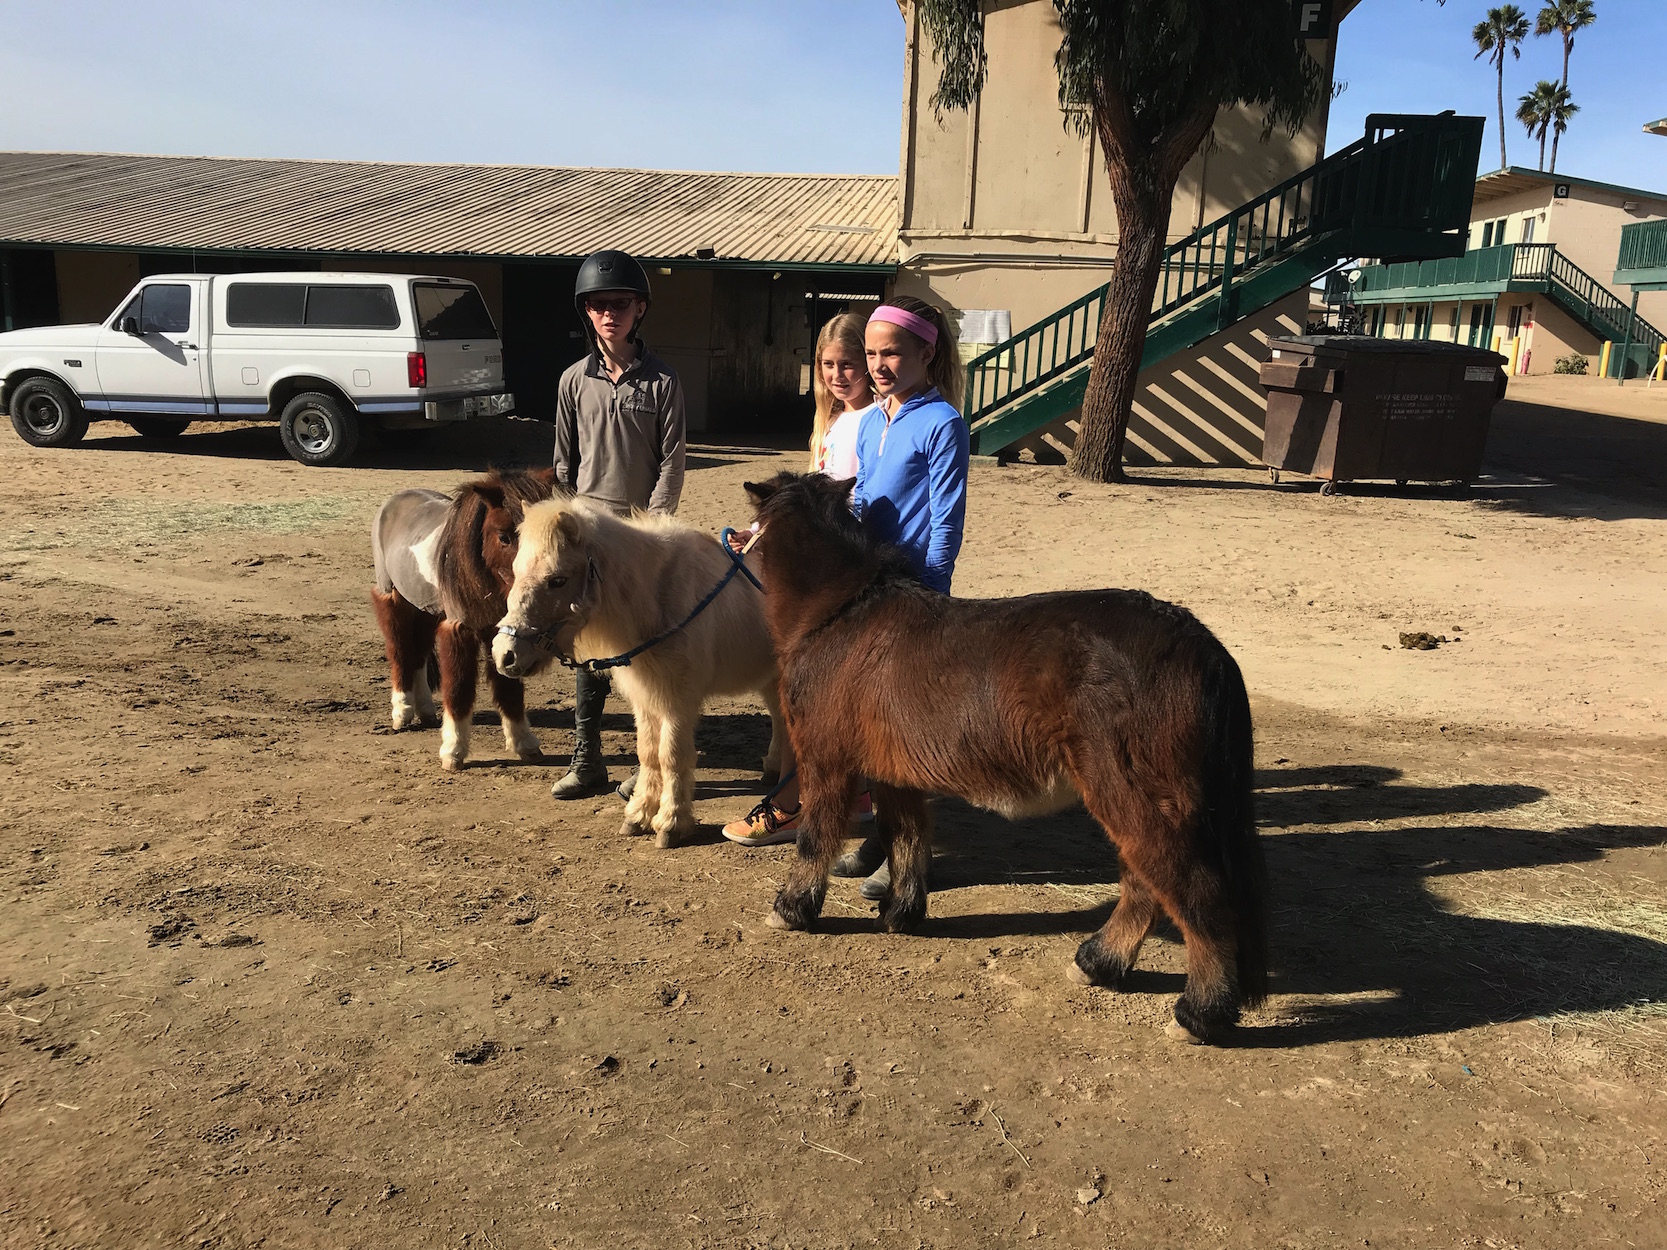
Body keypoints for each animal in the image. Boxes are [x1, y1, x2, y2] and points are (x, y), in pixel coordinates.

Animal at [371, 466, 560, 770]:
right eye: (504, 536)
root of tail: (397, 499)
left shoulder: (501, 633)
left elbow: (508, 688)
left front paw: (524, 743)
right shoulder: (458, 628)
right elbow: (458, 688)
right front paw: (453, 751)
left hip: (425, 607)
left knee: (419, 655)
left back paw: (425, 709)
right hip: (392, 598)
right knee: (400, 651)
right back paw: (402, 711)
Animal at [490, 500, 783, 853]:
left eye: (557, 580)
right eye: (516, 572)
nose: (505, 655)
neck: (660, 599)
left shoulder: (677, 703)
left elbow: (671, 756)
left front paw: (670, 824)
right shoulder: (645, 700)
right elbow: (648, 754)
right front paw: (639, 815)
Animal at [740, 473, 1260, 1046]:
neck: (841, 614)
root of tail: (1201, 645)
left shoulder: (827, 763)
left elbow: (815, 839)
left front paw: (792, 908)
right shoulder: (894, 774)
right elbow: (905, 837)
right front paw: (901, 913)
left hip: (1135, 796)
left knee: (1194, 891)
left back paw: (1200, 1012)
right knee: (1146, 884)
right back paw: (1100, 962)